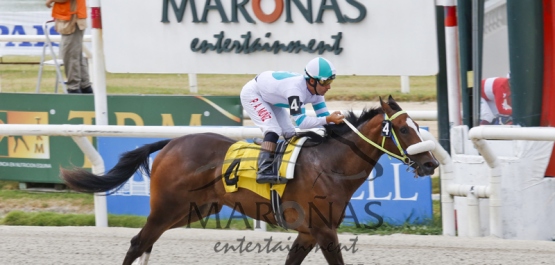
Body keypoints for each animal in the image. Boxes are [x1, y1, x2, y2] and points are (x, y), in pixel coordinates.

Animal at [60, 95, 440, 264]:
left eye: (419, 126)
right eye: (405, 129)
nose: (431, 163)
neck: (330, 164)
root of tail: (171, 142)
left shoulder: (308, 232)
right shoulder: (323, 230)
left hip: (192, 209)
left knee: (147, 242)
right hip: (167, 206)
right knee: (139, 242)